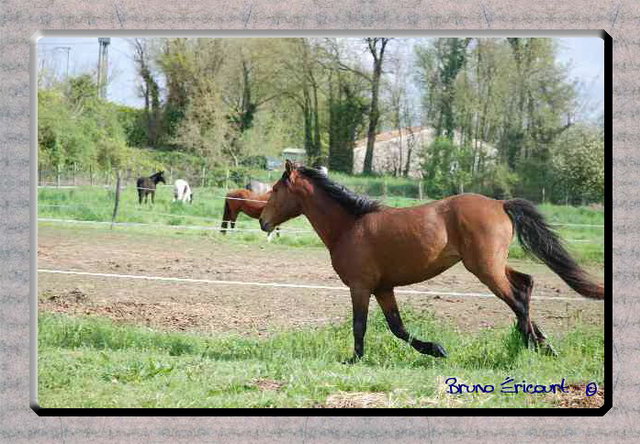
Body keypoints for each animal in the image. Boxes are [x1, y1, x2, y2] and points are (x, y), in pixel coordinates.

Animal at [258, 161, 604, 362]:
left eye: (275, 189)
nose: (263, 221)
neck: (350, 226)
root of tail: (500, 203)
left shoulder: (360, 287)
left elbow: (360, 326)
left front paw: (354, 360)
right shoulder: (383, 288)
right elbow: (397, 327)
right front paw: (436, 349)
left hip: (485, 269)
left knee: (517, 300)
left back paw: (530, 347)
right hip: (494, 265)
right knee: (526, 285)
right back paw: (543, 345)